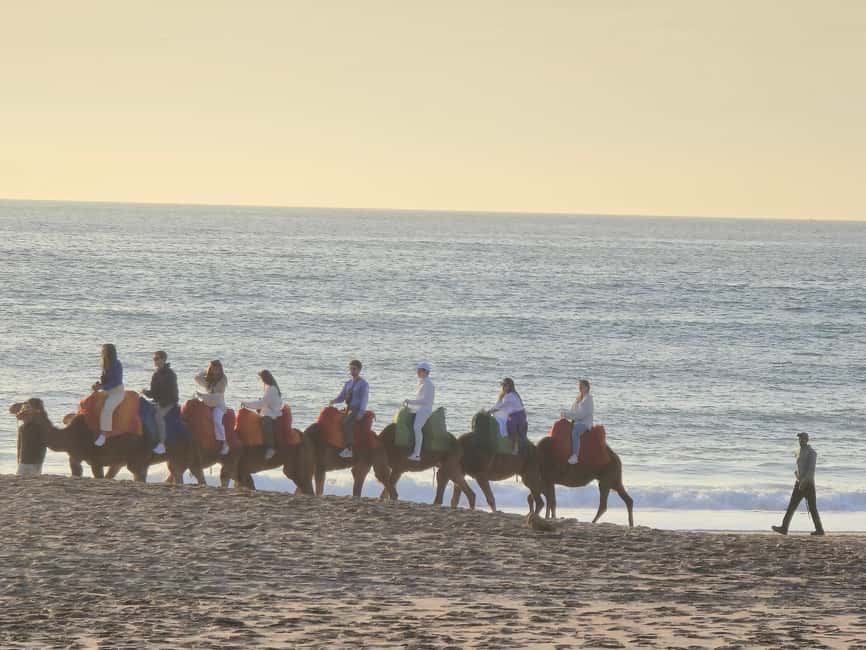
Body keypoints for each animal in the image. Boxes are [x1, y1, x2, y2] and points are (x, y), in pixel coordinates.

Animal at [9, 399, 152, 481]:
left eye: (25, 405)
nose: (12, 406)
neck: (70, 435)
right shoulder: (75, 457)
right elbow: (77, 472)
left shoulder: (96, 460)